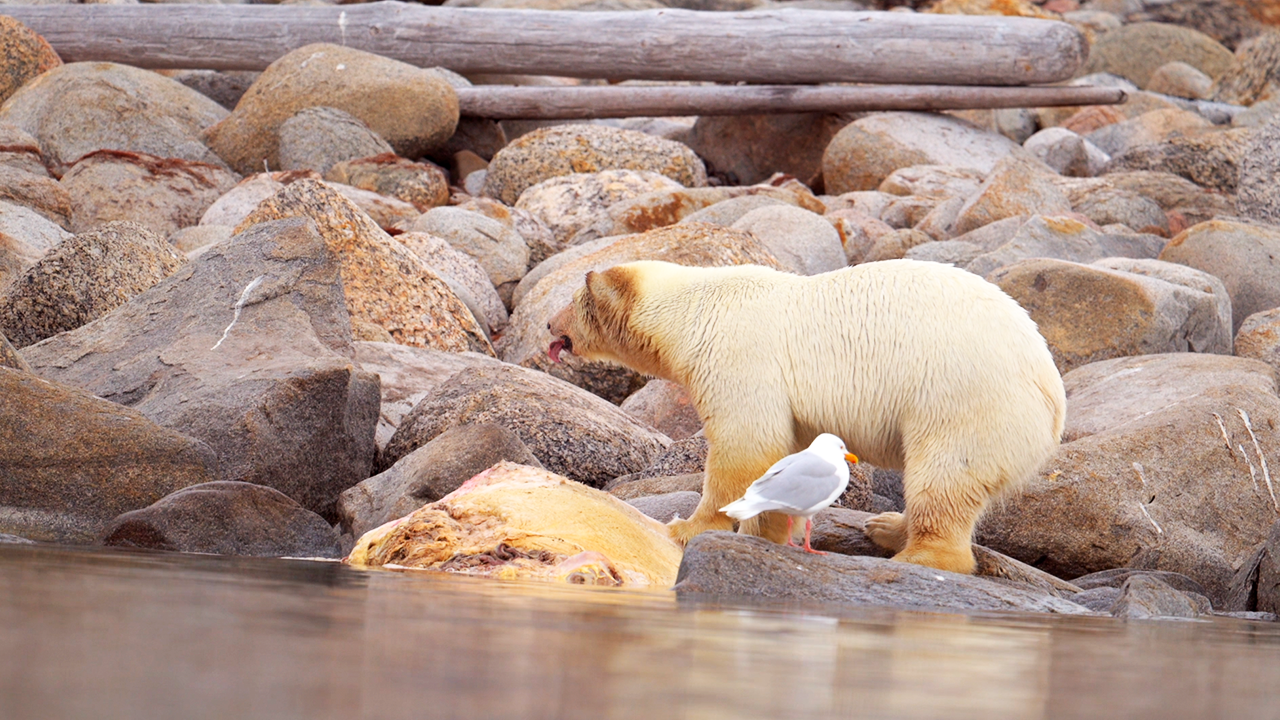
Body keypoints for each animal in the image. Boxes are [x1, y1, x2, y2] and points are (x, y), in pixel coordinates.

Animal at [547, 258, 1066, 574]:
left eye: (572, 301)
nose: (549, 325)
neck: (695, 310)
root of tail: (1053, 395)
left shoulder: (739, 355)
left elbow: (744, 445)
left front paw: (688, 527)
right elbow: (786, 455)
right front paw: (771, 530)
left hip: (964, 399)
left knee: (946, 476)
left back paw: (917, 556)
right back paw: (887, 527)